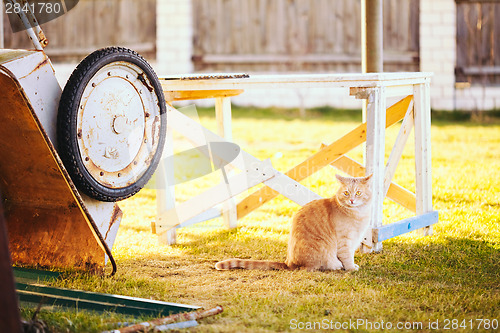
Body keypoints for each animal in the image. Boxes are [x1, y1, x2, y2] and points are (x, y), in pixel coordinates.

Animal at [215, 174, 372, 270]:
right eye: (346, 193)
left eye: (358, 193)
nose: (352, 200)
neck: (358, 213)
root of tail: (288, 263)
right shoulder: (344, 242)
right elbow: (347, 257)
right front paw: (350, 268)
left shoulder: (354, 241)